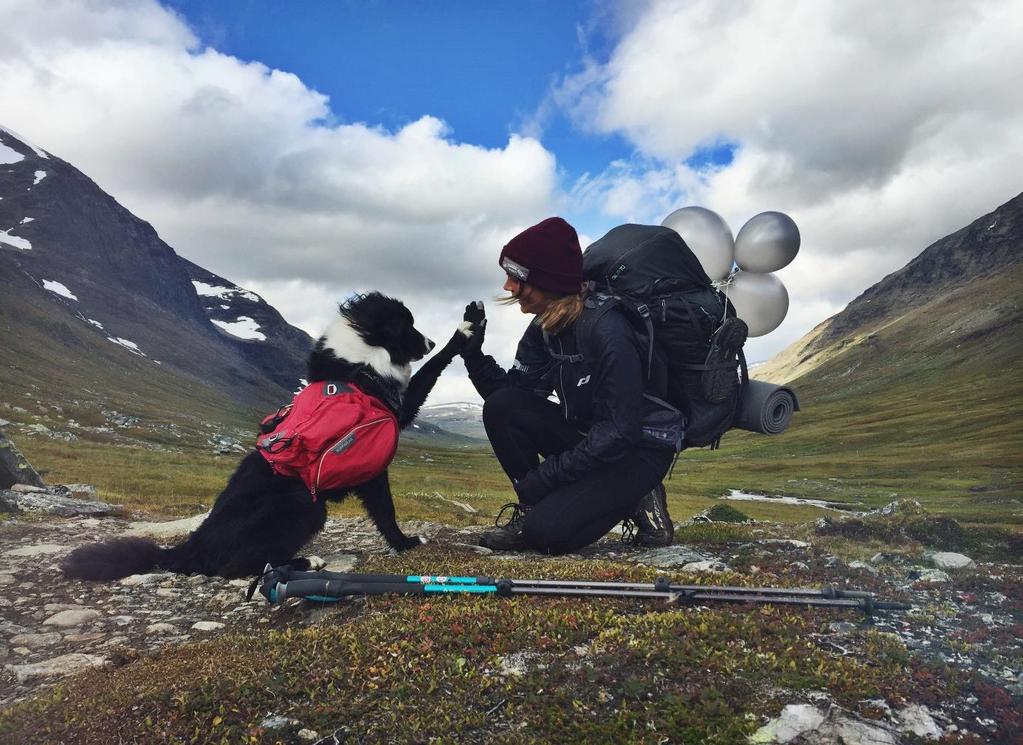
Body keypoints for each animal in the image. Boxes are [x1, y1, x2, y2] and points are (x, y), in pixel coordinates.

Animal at [59, 292, 468, 581]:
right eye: (407, 325)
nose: (430, 342)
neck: (358, 362)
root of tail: (190, 547)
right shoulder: (377, 453)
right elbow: (387, 511)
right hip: (303, 503)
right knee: (234, 567)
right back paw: (304, 561)